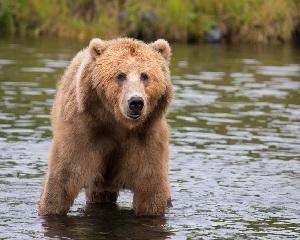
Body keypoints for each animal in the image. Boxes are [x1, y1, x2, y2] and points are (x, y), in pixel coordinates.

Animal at [38, 37, 173, 216]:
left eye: (145, 76)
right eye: (120, 75)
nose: (136, 102)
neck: (117, 124)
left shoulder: (147, 139)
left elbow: (151, 190)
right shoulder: (82, 133)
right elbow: (62, 181)